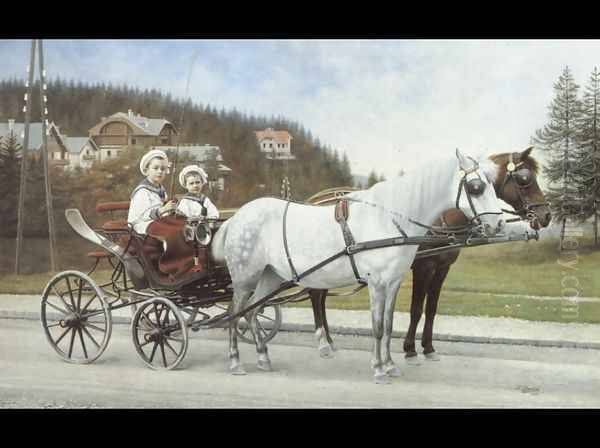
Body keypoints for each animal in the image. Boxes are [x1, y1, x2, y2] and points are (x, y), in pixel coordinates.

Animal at [310, 149, 552, 358]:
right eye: (524, 178)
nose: (546, 215)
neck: (443, 216)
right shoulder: (424, 267)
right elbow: (416, 309)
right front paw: (410, 348)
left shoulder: (442, 268)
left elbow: (432, 308)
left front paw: (428, 347)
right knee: (315, 295)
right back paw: (324, 343)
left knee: (320, 295)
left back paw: (329, 340)